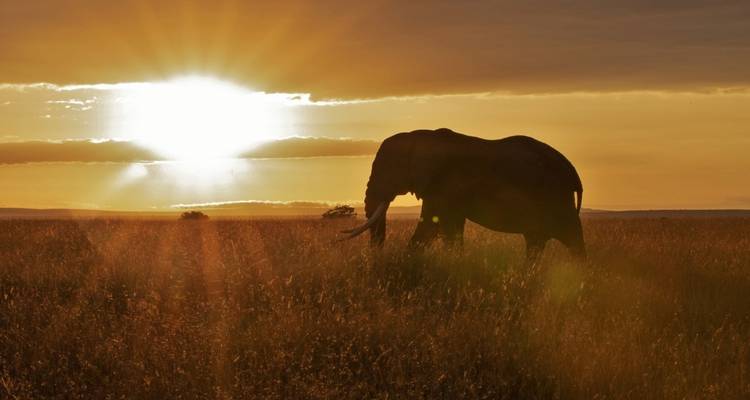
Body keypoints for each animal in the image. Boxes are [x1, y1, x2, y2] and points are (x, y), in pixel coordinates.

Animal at [341, 128, 585, 264]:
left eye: (388, 169)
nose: (376, 257)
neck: (419, 136)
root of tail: (572, 171)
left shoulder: (444, 184)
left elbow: (435, 225)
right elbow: (438, 227)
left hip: (555, 196)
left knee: (571, 238)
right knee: (536, 240)